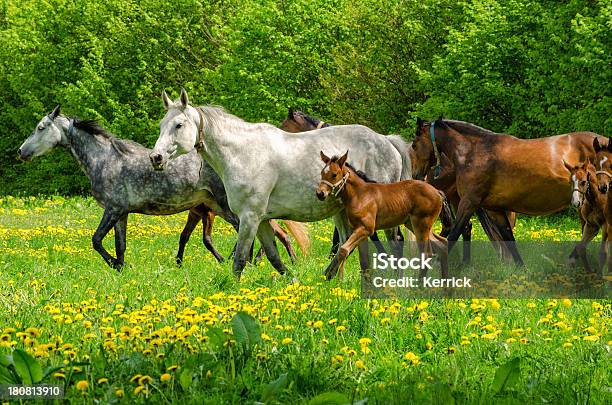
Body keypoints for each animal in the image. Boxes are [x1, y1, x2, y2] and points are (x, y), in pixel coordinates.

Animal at [19, 105, 304, 266]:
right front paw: (122, 268)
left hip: (227, 208)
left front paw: (115, 265)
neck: (105, 159)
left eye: (41, 127)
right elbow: (120, 246)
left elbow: (97, 241)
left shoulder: (112, 209)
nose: (21, 152)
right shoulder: (121, 213)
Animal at [149, 88, 412, 278]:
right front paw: (294, 281)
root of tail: (386, 140)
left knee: (395, 243)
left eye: (178, 125)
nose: (156, 158)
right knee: (350, 245)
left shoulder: (249, 218)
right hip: (342, 212)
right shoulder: (263, 221)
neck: (243, 152)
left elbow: (240, 260)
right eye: (161, 125)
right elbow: (275, 258)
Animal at [318, 150, 448, 280]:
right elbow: (362, 259)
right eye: (322, 174)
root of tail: (438, 192)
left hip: (421, 224)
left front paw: (340, 279)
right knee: (442, 244)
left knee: (426, 253)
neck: (360, 195)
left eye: (334, 175)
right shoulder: (359, 230)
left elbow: (344, 249)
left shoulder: (366, 228)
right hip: (414, 224)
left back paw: (419, 284)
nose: (320, 193)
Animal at [412, 117, 608, 262]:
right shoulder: (494, 209)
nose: (416, 175)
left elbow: (454, 232)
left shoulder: (468, 203)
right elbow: (509, 238)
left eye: (414, 145)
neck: (474, 153)